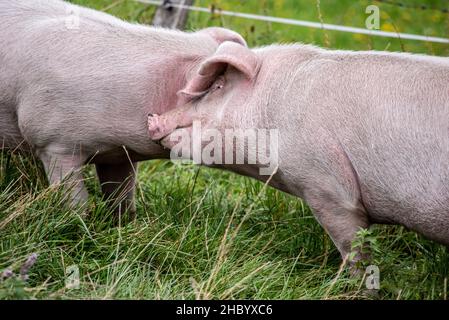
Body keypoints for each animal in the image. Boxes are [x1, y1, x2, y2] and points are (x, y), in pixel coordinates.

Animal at [0, 0, 245, 218]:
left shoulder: (119, 155)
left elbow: (123, 198)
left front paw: (122, 224)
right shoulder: (52, 144)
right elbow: (75, 201)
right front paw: (79, 225)